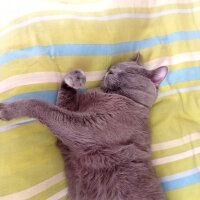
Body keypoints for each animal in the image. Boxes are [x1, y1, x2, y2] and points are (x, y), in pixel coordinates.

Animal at [0, 53, 167, 200]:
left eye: (128, 71)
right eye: (114, 66)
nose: (110, 70)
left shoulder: (84, 129)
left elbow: (40, 105)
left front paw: (6, 110)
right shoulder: (69, 120)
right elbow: (63, 100)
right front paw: (75, 77)